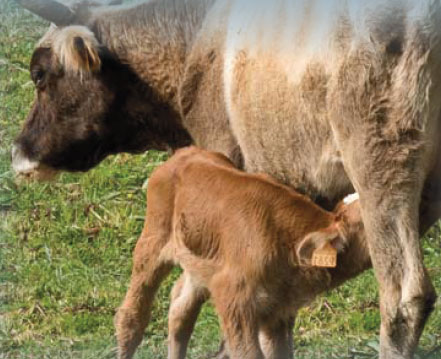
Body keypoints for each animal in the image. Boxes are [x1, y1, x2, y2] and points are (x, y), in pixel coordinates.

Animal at [114, 147, 372, 359]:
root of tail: (184, 153)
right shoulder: (234, 298)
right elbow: (247, 354)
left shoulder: (278, 310)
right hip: (152, 241)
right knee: (132, 317)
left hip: (201, 264)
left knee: (181, 310)